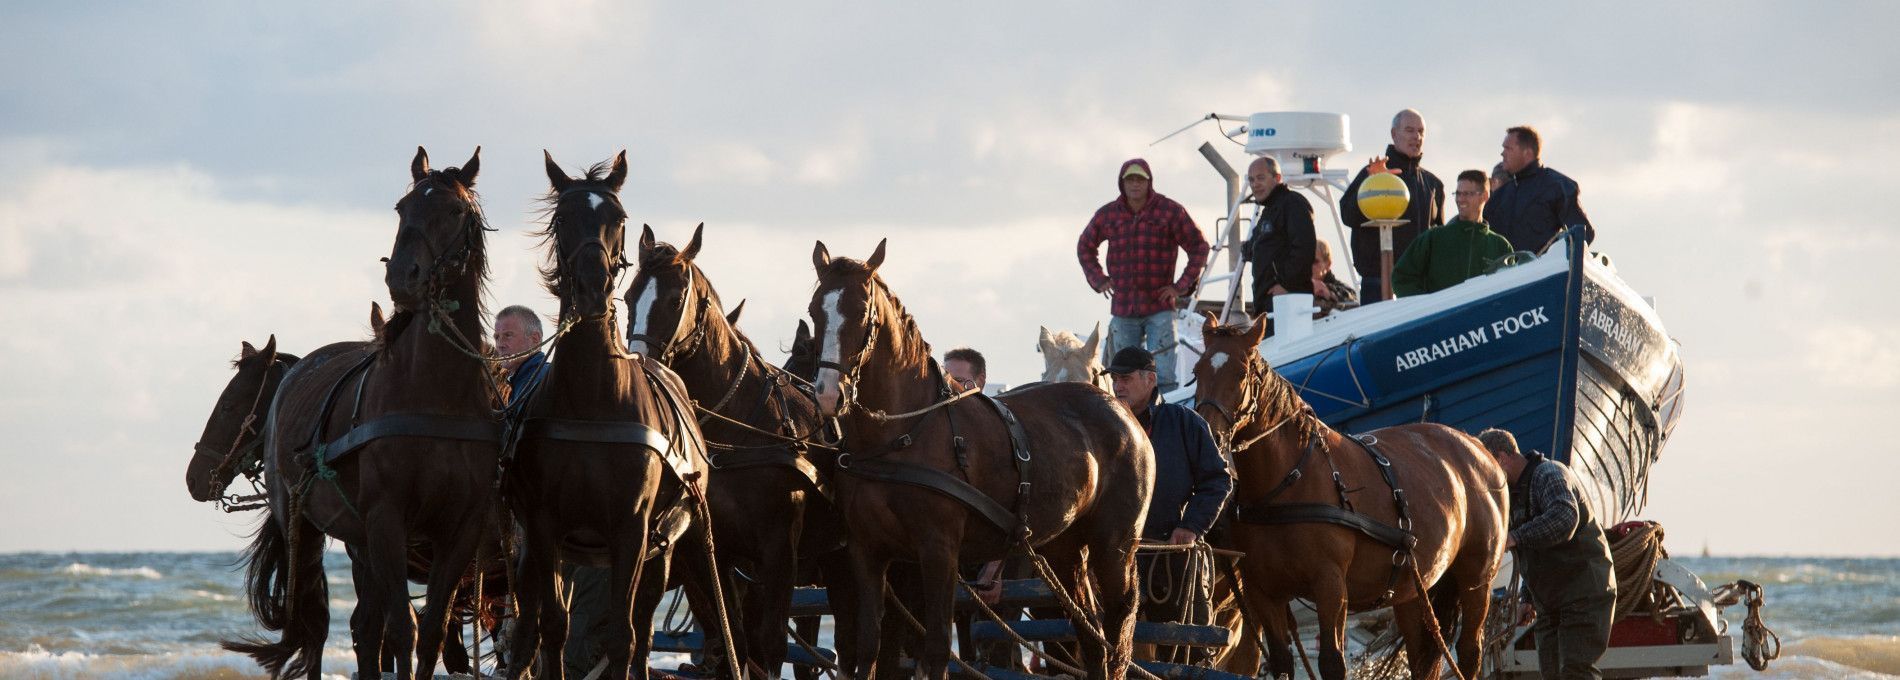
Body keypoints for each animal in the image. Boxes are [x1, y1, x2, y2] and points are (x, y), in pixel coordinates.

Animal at [224, 149, 505, 680]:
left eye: (454, 211)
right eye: (401, 207)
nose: (403, 278)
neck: (434, 396)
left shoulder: (462, 530)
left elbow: (431, 631)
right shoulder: (384, 521)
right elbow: (402, 630)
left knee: (364, 629)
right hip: (305, 527)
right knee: (319, 626)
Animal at [505, 152, 718, 680]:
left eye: (617, 219)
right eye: (563, 218)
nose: (593, 286)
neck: (592, 399)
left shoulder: (633, 529)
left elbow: (625, 634)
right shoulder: (544, 528)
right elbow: (553, 627)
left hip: (664, 547)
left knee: (640, 625)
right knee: (529, 622)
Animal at [627, 226, 858, 676]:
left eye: (675, 299)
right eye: (628, 297)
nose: (640, 365)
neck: (734, 433)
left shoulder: (778, 551)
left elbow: (768, 644)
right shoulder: (712, 555)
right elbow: (734, 635)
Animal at [805, 239, 1147, 680]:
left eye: (862, 310)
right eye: (815, 310)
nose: (829, 393)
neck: (899, 435)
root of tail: (1122, 412)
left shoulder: (938, 551)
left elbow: (935, 649)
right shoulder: (867, 552)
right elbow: (869, 646)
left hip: (1115, 546)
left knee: (1116, 631)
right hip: (1065, 546)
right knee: (1089, 633)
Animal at [1185, 313, 1512, 680]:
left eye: (1241, 373)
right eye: (1197, 371)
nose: (1208, 433)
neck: (1287, 481)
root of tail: (1476, 446)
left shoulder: (1329, 584)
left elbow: (1332, 661)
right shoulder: (1262, 592)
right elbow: (1281, 662)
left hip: (1476, 579)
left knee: (1469, 650)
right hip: (1416, 589)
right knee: (1424, 655)